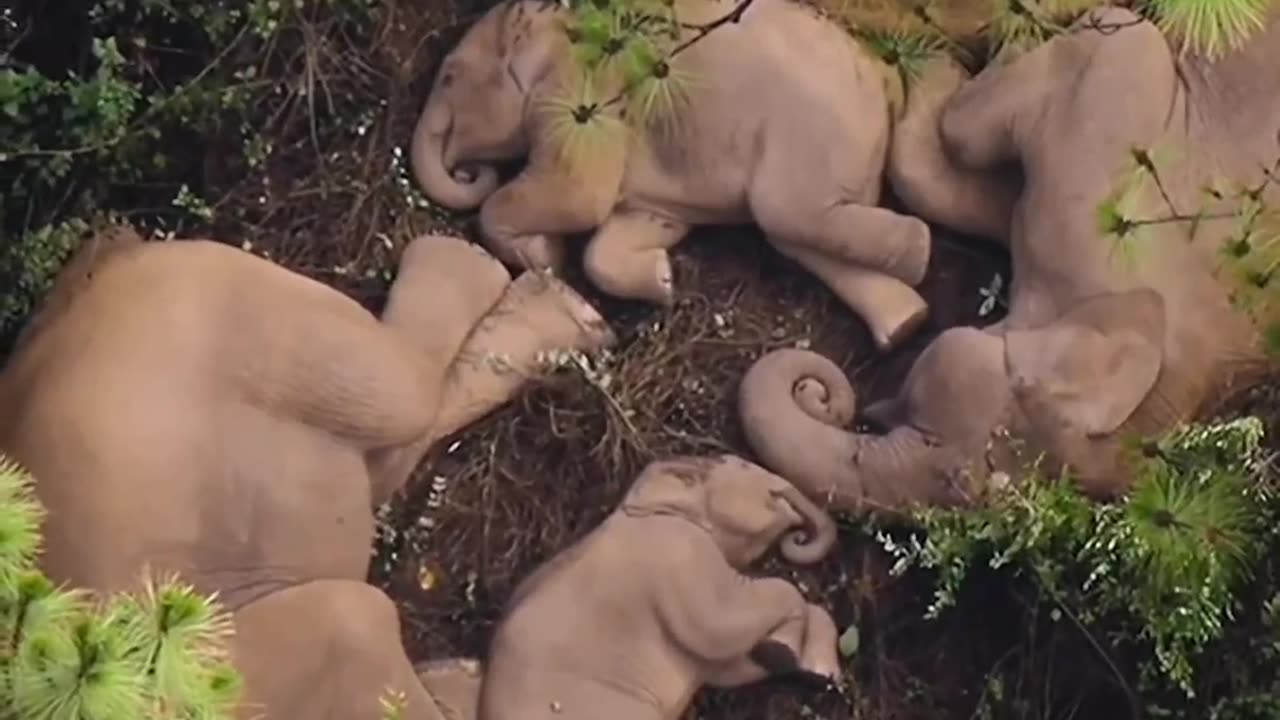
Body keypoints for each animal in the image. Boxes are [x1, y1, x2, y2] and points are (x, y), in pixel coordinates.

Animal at [409, 0, 936, 352]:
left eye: (449, 77)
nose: (466, 170)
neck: (556, 22)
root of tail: (885, 87)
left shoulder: (582, 98)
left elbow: (579, 197)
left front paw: (546, 256)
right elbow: (623, 233)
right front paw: (664, 281)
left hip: (813, 135)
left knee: (791, 215)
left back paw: (919, 253)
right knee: (798, 237)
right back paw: (905, 325)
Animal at [476, 454, 842, 720]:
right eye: (741, 464)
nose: (799, 535)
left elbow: (728, 666)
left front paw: (816, 673)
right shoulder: (680, 551)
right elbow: (719, 629)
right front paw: (782, 652)